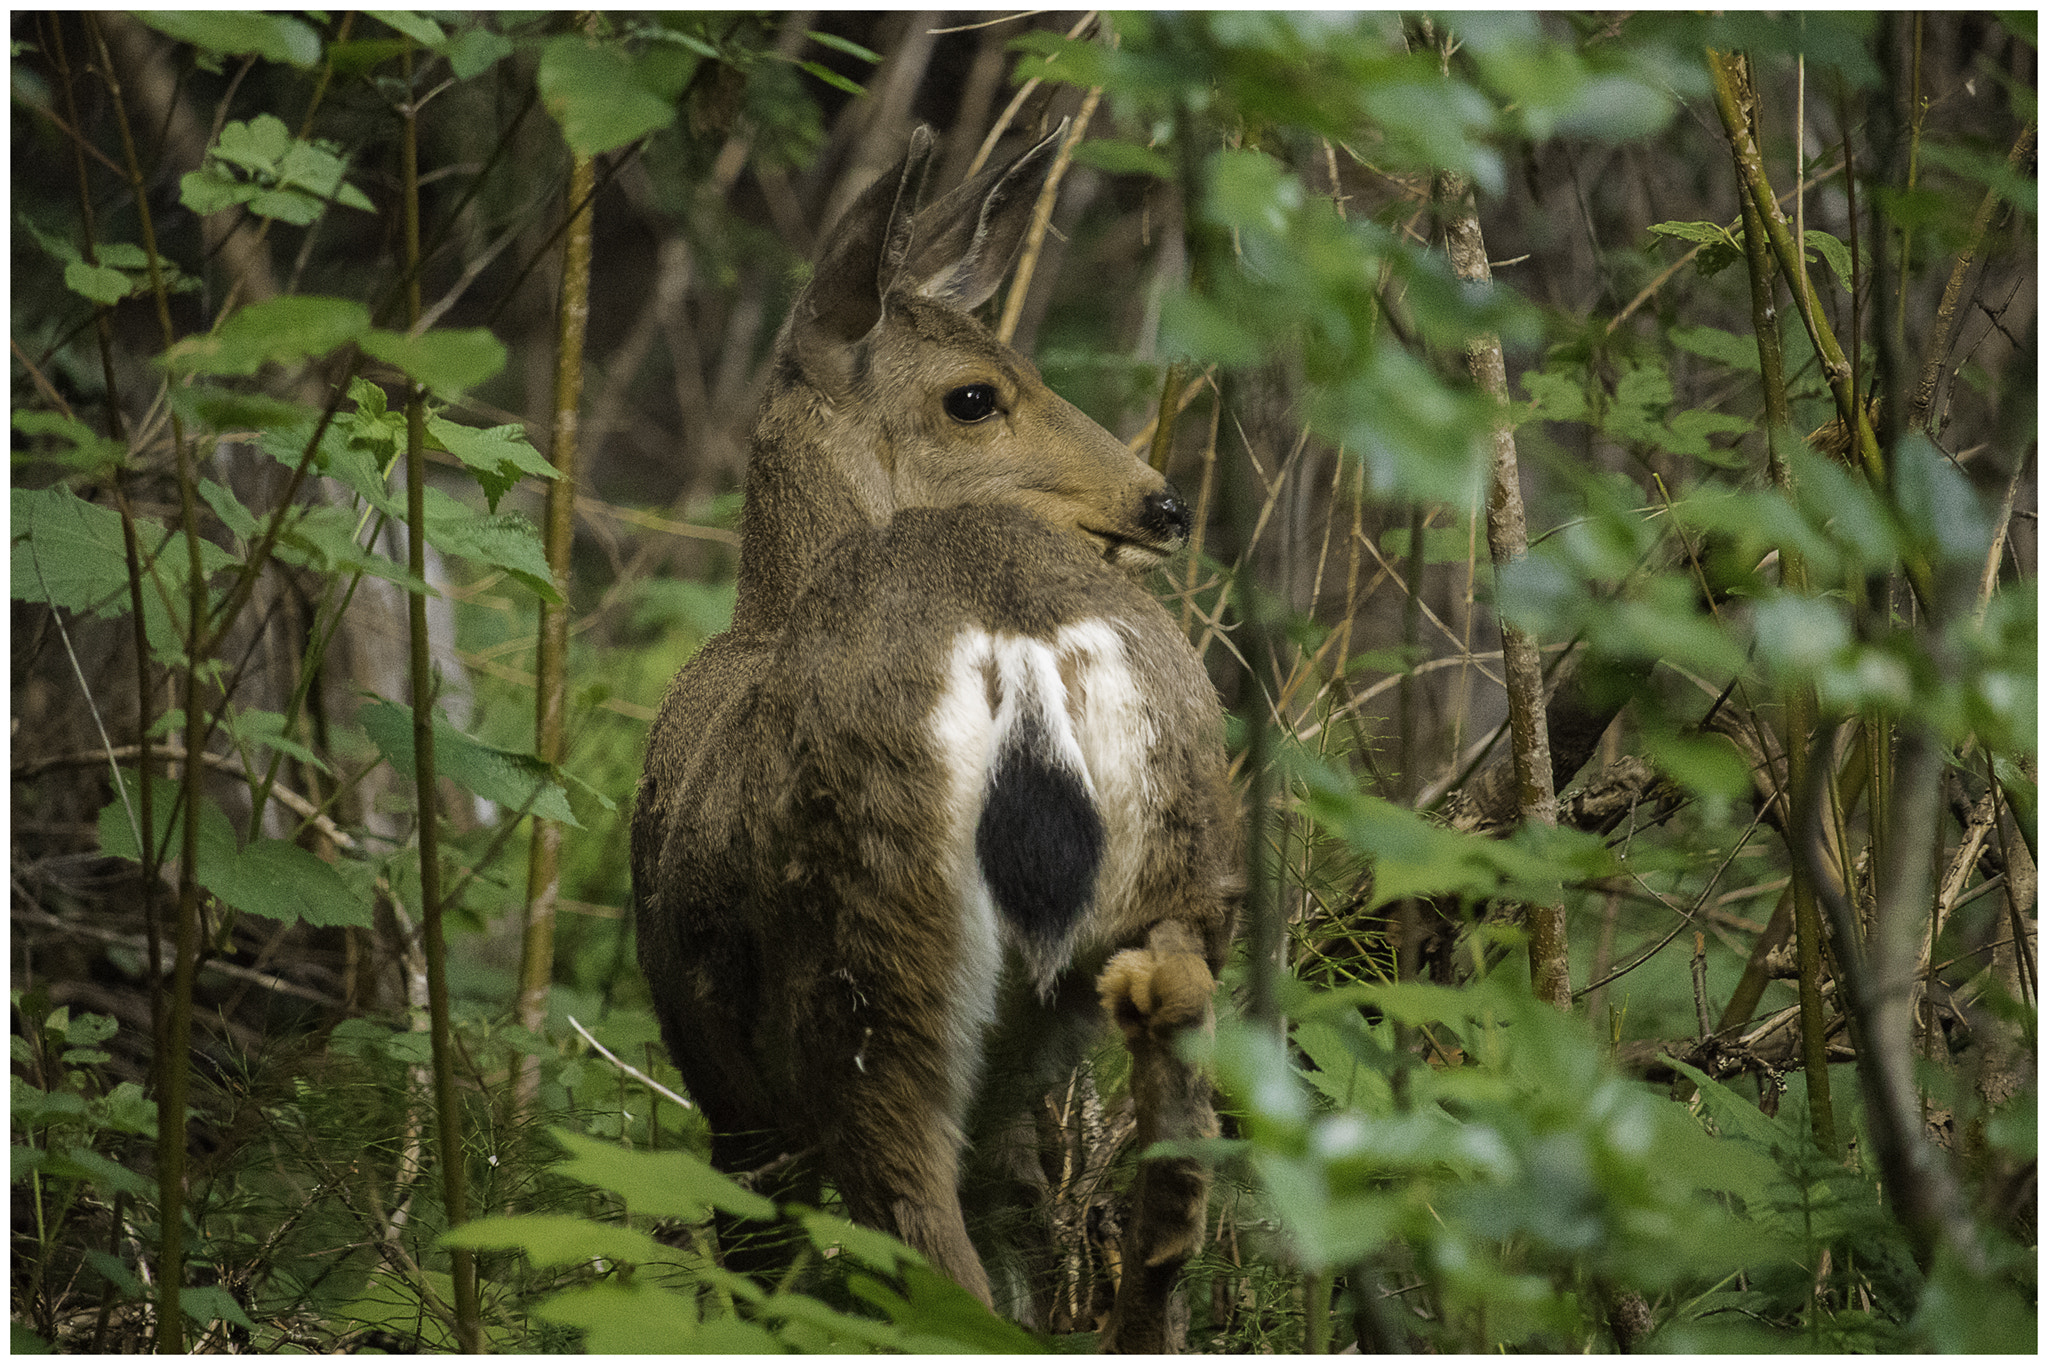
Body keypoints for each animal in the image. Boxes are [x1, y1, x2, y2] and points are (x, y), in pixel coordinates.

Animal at [622, 127, 1236, 1358]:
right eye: (976, 394)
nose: (1162, 504)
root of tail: (1021, 641)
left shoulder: (724, 1085)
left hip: (865, 957)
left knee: (925, 1248)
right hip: (1172, 870)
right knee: (1157, 1189)